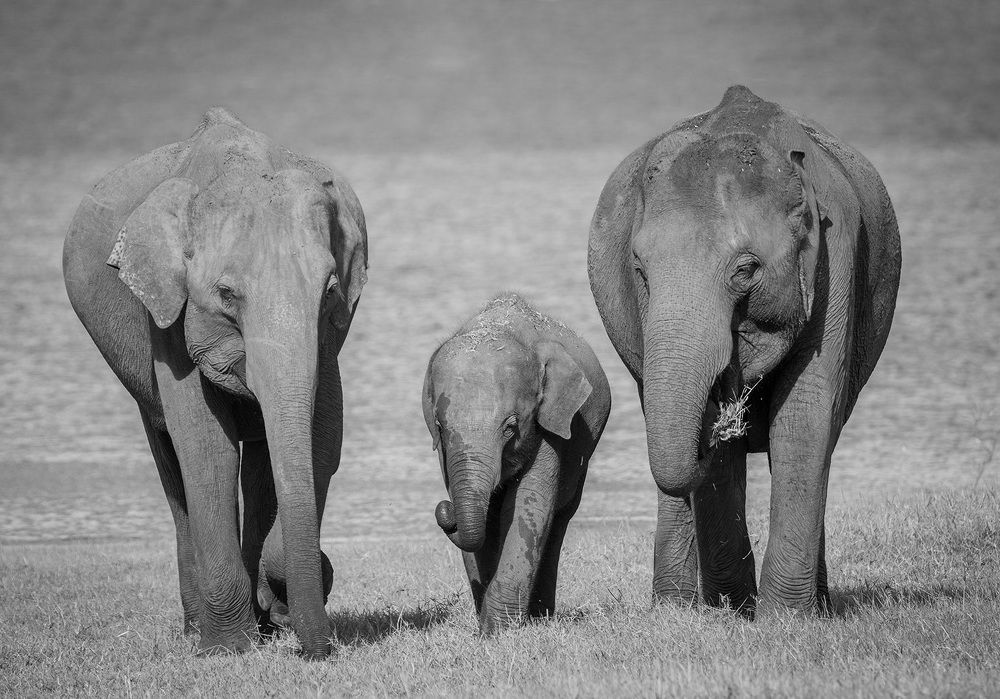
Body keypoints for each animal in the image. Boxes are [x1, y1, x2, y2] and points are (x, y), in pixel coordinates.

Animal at [62, 107, 368, 657]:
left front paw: (276, 603)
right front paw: (228, 648)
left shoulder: (327, 341)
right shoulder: (166, 316)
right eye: (226, 294)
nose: (318, 648)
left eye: (330, 290)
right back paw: (198, 630)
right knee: (172, 467)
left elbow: (321, 440)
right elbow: (206, 446)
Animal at [423, 294, 611, 633]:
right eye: (441, 427)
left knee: (558, 518)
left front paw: (498, 630)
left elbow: (529, 501)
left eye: (510, 427)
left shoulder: (550, 423)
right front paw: (489, 624)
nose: (444, 508)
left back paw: (540, 616)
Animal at [588, 85, 901, 616]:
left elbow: (806, 411)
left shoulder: (835, 254)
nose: (725, 395)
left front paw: (784, 618)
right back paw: (676, 608)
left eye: (746, 270)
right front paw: (732, 611)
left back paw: (815, 605)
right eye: (641, 270)